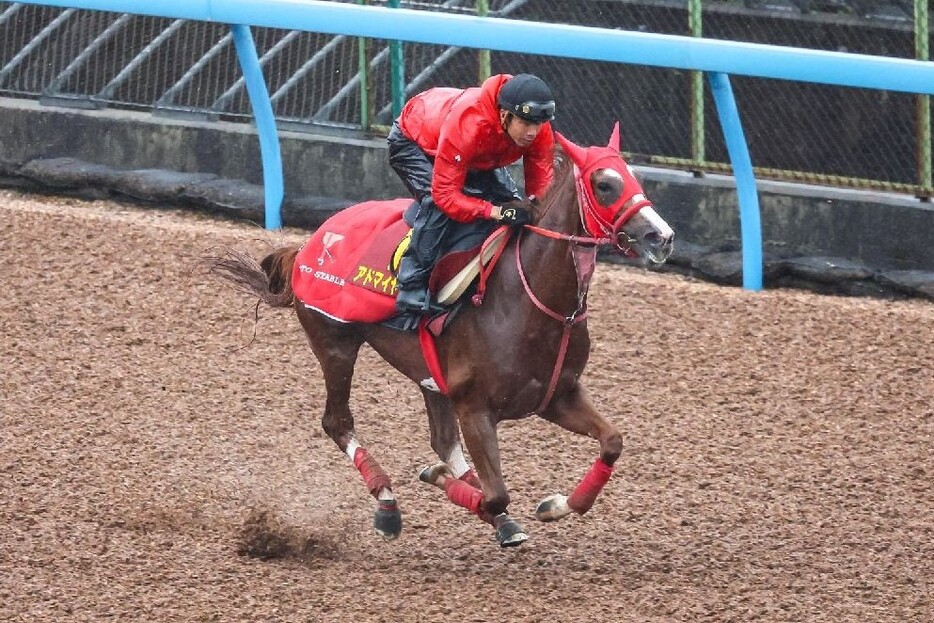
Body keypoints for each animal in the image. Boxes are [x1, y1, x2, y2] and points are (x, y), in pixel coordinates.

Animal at [207, 125, 672, 544]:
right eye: (604, 184)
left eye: (635, 176)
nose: (662, 237)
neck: (532, 299)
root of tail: (309, 243)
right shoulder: (475, 406)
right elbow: (496, 493)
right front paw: (443, 482)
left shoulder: (556, 395)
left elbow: (612, 441)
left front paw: (556, 505)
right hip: (335, 344)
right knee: (338, 422)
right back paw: (388, 504)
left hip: (429, 377)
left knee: (443, 440)